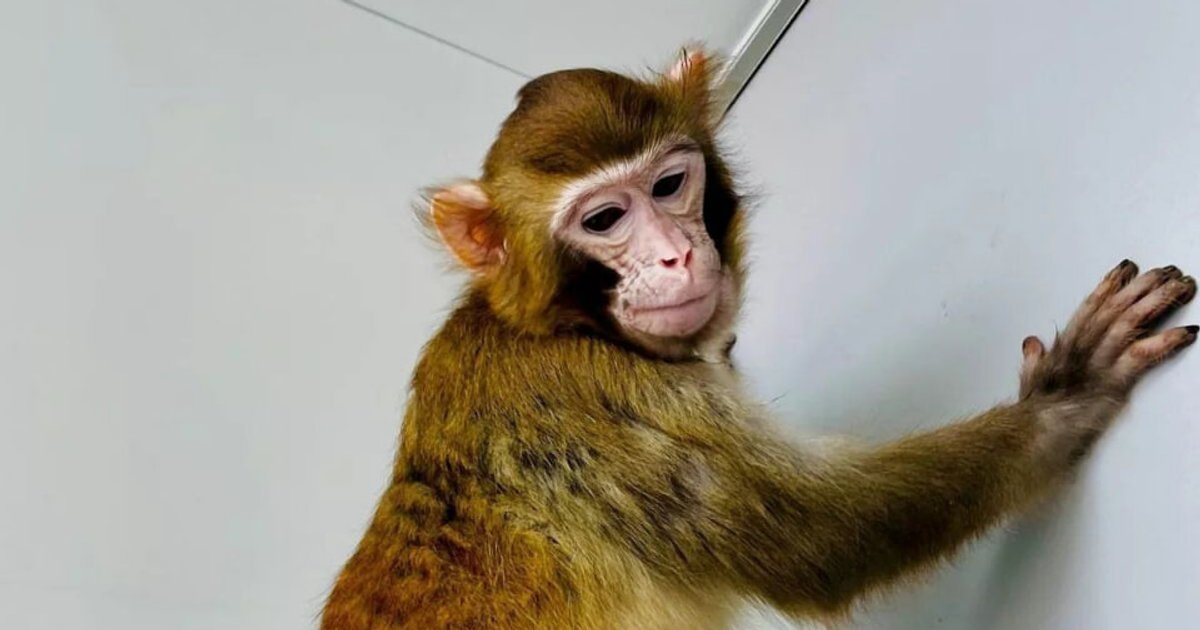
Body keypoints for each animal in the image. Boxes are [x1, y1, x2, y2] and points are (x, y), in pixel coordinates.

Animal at [320, 49, 1197, 630]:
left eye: (669, 185)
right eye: (604, 219)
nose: (674, 255)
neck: (551, 325)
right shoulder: (586, 398)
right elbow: (823, 537)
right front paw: (1066, 395)